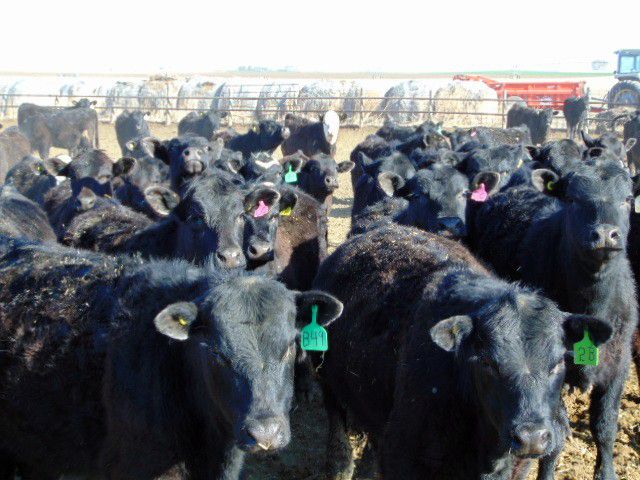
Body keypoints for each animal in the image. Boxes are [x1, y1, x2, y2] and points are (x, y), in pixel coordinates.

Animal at [313, 224, 611, 480]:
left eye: (559, 363)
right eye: (487, 362)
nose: (531, 438)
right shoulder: (401, 455)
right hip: (326, 376)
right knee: (336, 425)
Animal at [470, 161, 638, 480]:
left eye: (626, 199)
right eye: (572, 199)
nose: (604, 234)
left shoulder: (619, 364)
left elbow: (605, 425)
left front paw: (606, 472)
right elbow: (555, 438)